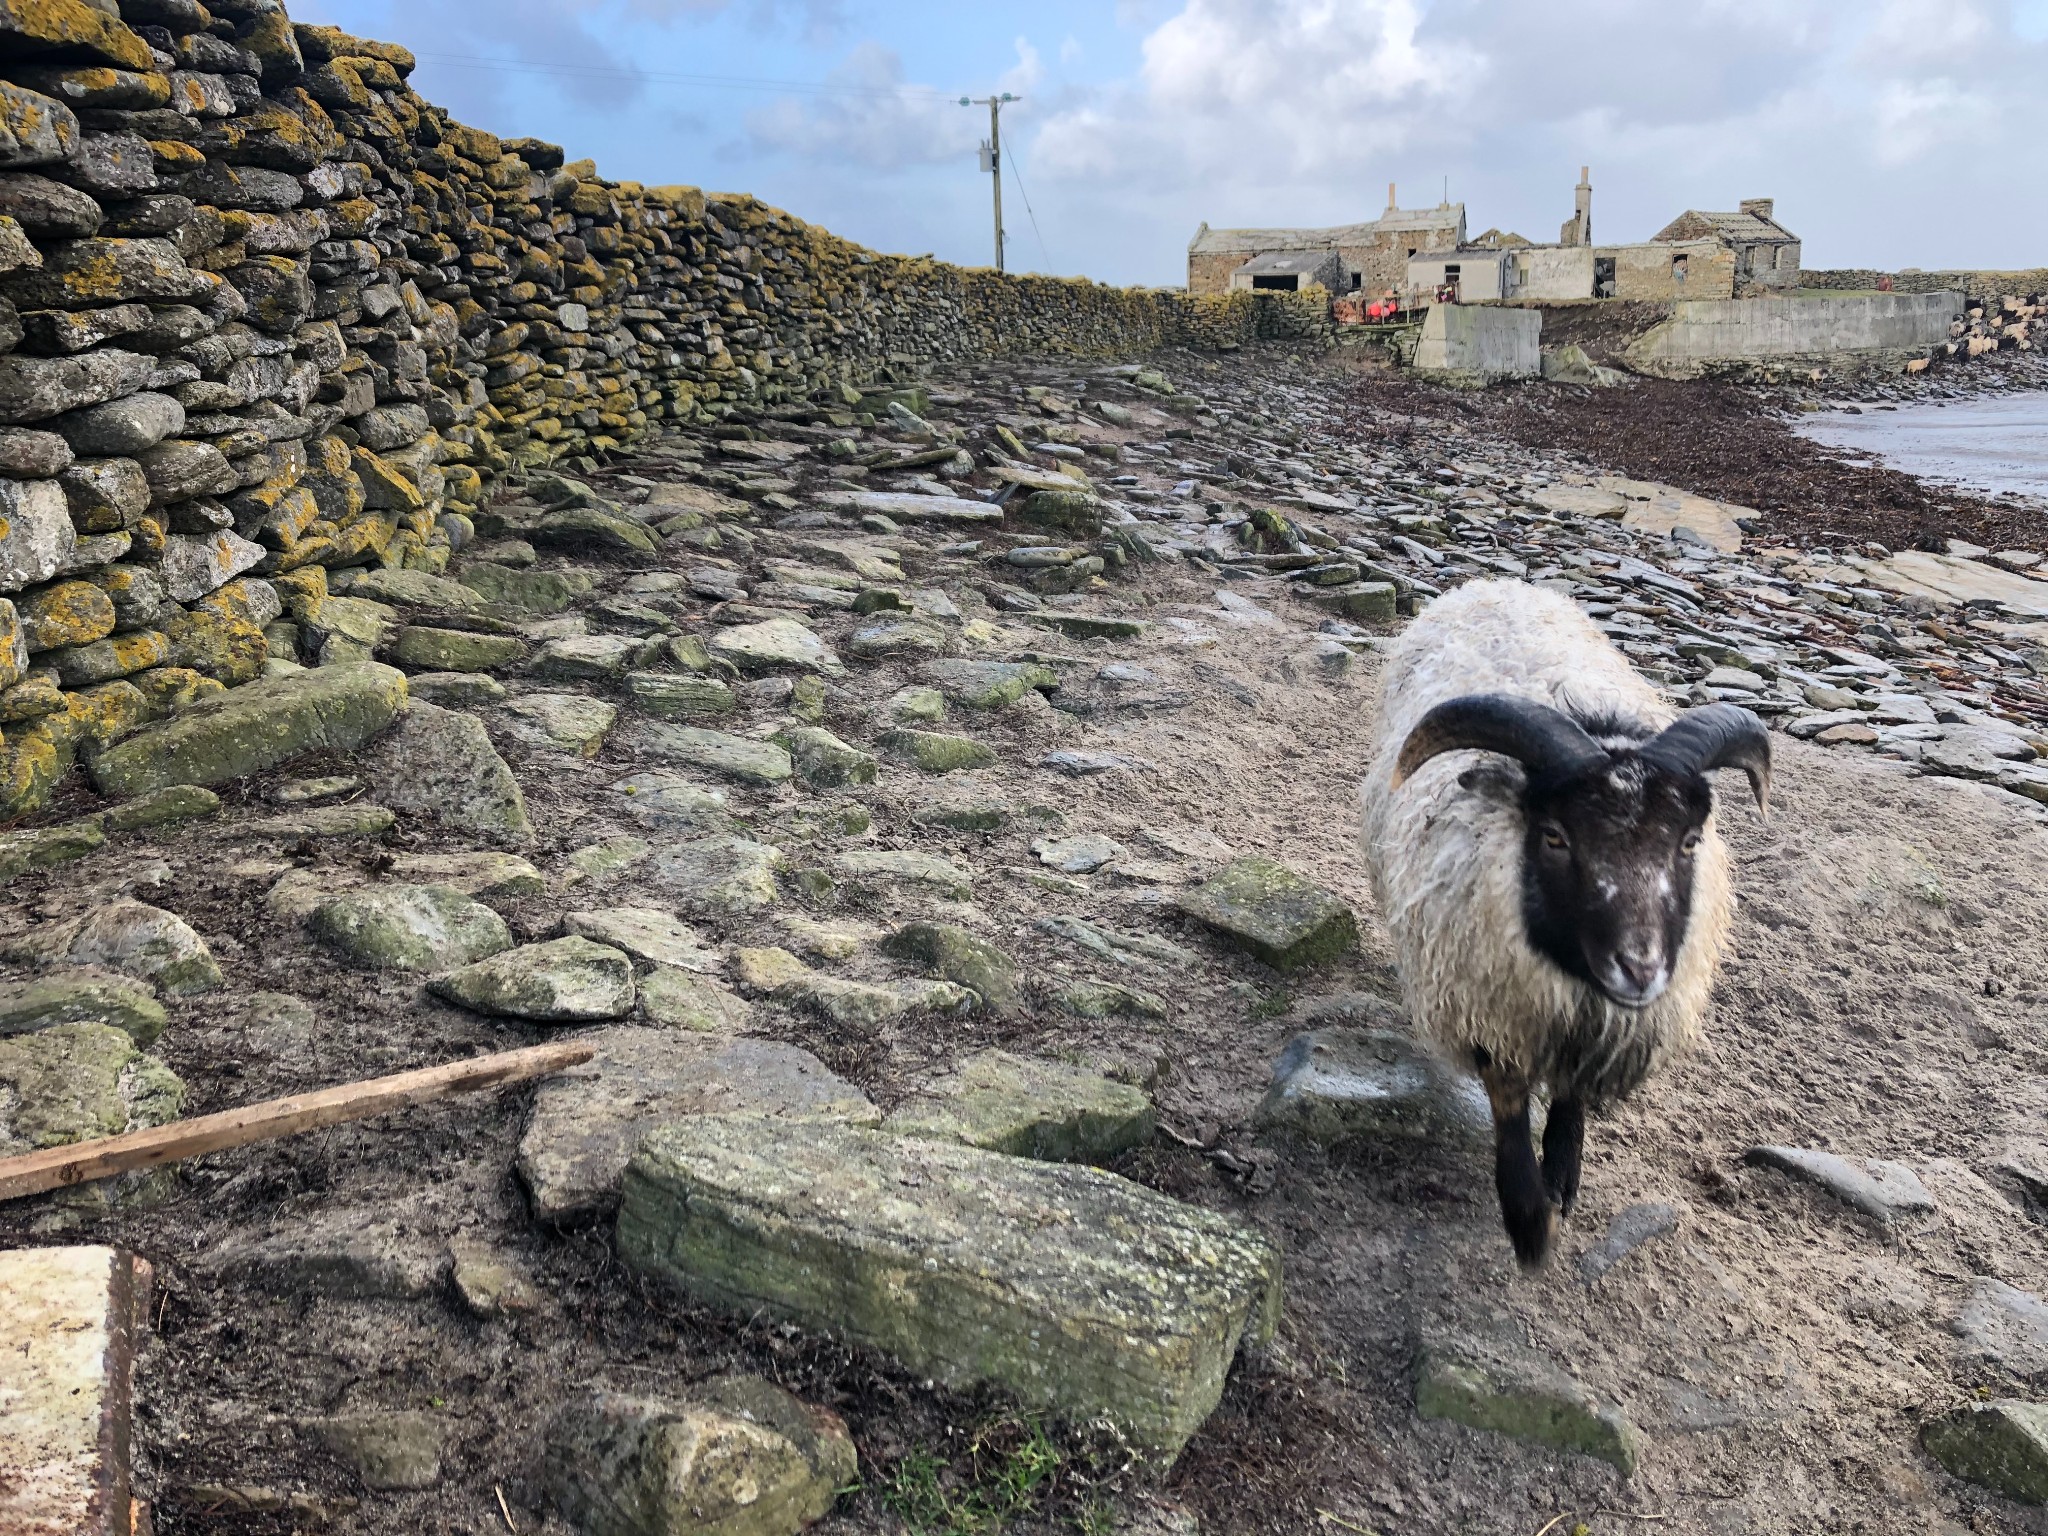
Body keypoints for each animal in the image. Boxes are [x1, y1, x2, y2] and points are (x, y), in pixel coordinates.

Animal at [1351, 581, 1769, 1269]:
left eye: (1688, 841)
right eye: (1554, 836)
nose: (1640, 969)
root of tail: (1496, 583)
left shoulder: (1596, 1020)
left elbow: (1573, 1092)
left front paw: (1564, 1177)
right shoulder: (1488, 1004)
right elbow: (1508, 1104)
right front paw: (1528, 1225)